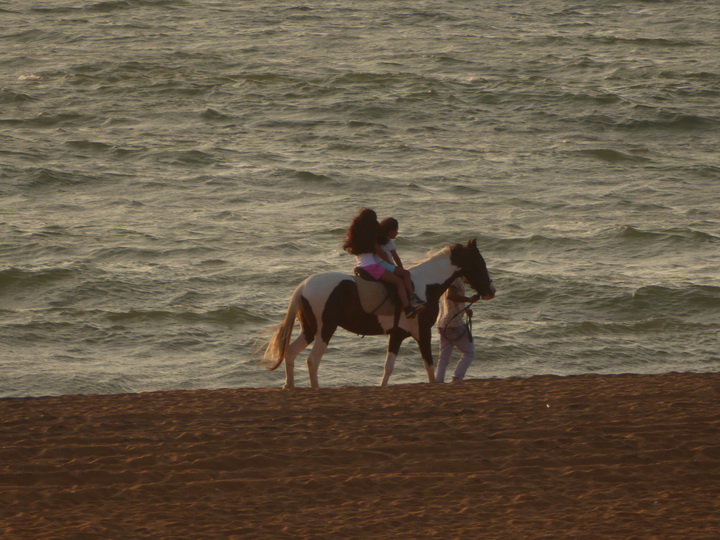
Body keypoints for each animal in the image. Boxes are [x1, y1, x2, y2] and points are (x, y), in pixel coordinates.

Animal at [264, 239, 496, 388]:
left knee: (291, 353)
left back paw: (289, 386)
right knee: (312, 360)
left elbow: (388, 367)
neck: (424, 286)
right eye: (480, 262)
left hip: (310, 330)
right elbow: (429, 366)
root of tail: (304, 285)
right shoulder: (423, 333)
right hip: (324, 330)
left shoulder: (397, 335)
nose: (491, 291)